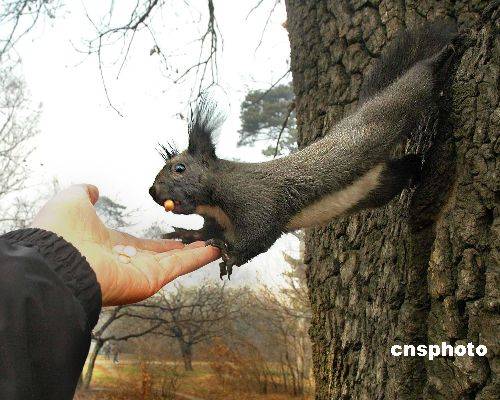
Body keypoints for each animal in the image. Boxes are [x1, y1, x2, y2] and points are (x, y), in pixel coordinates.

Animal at [148, 21, 458, 278]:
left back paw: (440, 58)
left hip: (392, 112)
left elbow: (259, 237)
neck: (215, 198)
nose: (153, 192)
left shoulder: (256, 202)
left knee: (415, 85)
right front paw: (189, 235)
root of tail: (365, 110)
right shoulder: (217, 219)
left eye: (179, 168)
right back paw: (416, 168)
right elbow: (208, 231)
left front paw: (229, 255)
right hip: (379, 185)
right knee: (400, 171)